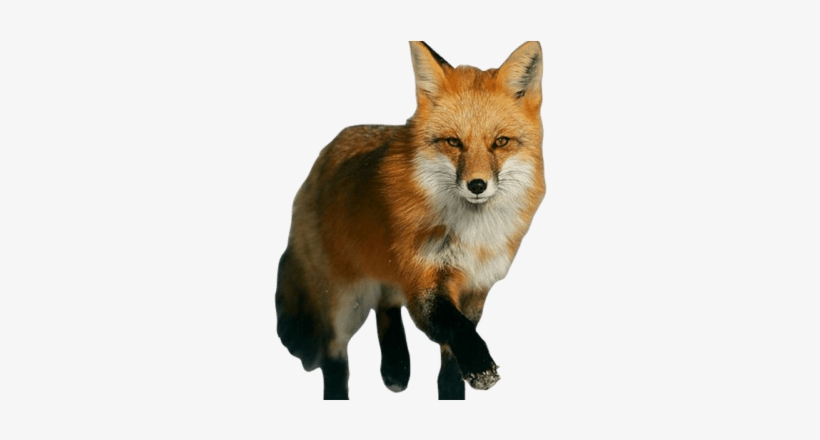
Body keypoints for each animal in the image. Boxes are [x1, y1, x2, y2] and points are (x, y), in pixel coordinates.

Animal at [275, 41, 546, 400]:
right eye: (453, 142)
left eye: (500, 142)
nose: (476, 185)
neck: (472, 236)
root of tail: (322, 155)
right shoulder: (423, 278)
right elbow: (455, 326)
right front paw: (480, 365)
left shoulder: (476, 287)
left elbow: (451, 360)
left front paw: (454, 390)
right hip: (344, 301)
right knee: (335, 357)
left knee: (386, 303)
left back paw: (396, 368)